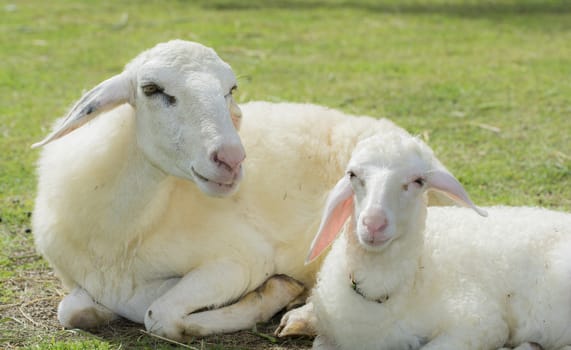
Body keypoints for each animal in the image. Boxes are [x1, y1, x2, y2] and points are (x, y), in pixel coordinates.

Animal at [32, 39, 424, 340]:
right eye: (152, 89)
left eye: (230, 90)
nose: (232, 159)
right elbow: (73, 311)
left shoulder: (241, 259)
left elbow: (160, 316)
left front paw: (271, 294)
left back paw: (303, 316)